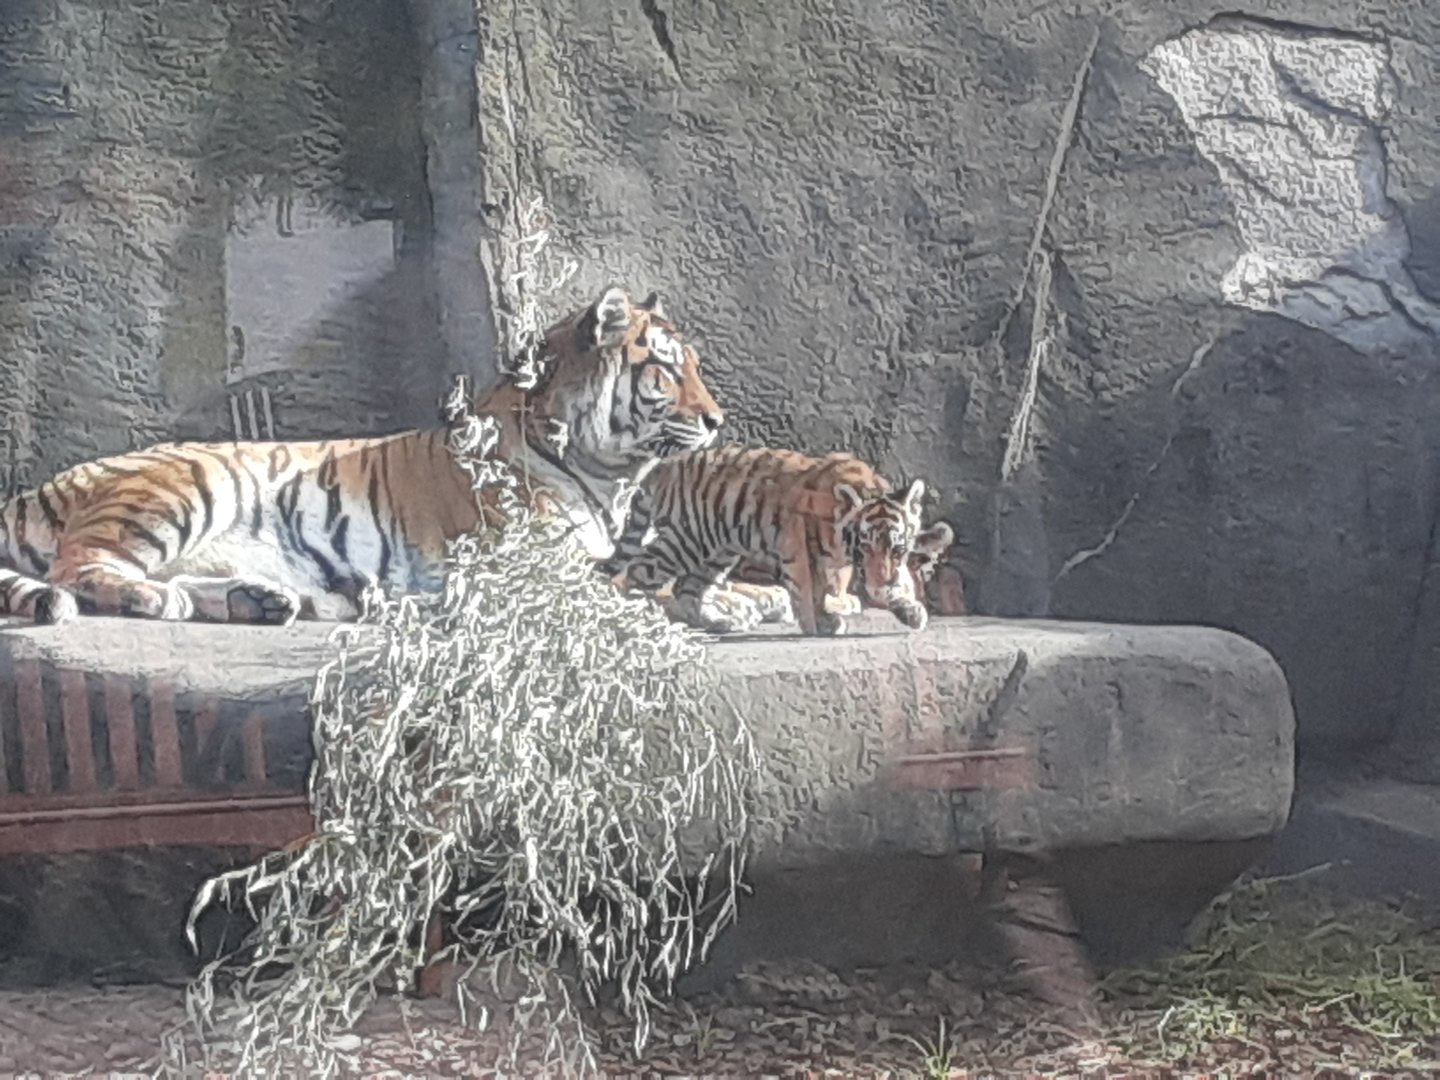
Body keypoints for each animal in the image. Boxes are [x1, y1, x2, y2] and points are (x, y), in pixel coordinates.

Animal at [0, 286, 725, 626]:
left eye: (695, 365)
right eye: (666, 371)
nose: (717, 420)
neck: (607, 478)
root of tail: (49, 484)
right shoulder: (534, 569)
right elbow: (644, 586)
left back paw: (259, 600)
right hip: (184, 487)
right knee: (78, 565)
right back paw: (155, 599)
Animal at [598, 445, 954, 636]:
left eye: (898, 548)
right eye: (864, 546)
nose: (880, 580)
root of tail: (664, 466)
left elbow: (889, 583)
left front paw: (910, 610)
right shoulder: (803, 547)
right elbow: (811, 590)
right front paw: (819, 624)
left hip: (716, 550)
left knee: (688, 588)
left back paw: (719, 621)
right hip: (684, 543)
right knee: (636, 573)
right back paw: (637, 618)